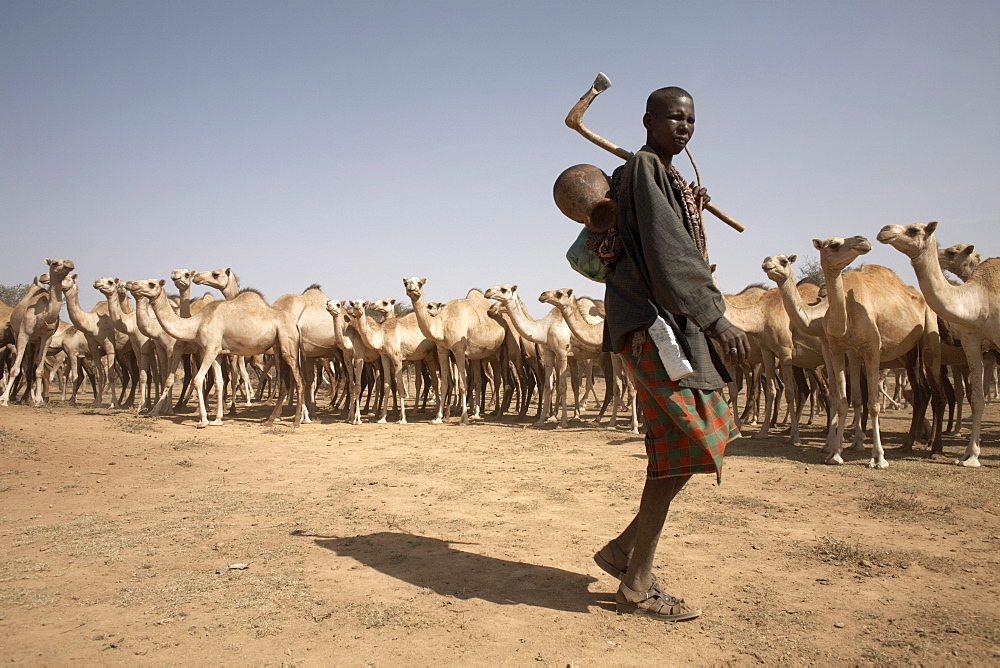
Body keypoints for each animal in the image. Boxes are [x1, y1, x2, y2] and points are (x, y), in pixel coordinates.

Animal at [0, 260, 75, 408]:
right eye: (54, 263)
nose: (43, 277)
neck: (44, 315)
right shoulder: (24, 334)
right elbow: (16, 369)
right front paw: (4, 400)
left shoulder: (46, 338)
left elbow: (39, 371)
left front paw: (38, 400)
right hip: (20, 338)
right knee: (25, 369)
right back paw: (20, 397)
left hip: (36, 344)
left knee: (33, 370)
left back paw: (30, 397)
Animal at [127, 276, 302, 428]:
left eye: (151, 284)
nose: (130, 284)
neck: (197, 323)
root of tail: (294, 323)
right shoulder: (217, 353)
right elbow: (219, 382)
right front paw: (217, 419)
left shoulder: (210, 348)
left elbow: (198, 380)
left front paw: (203, 421)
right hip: (278, 347)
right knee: (285, 382)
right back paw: (271, 419)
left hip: (288, 344)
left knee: (299, 380)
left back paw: (296, 421)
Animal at [400, 276, 504, 422]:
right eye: (405, 283)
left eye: (420, 283)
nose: (411, 289)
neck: (443, 324)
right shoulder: (442, 349)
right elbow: (444, 383)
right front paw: (438, 417)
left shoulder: (458, 349)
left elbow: (462, 384)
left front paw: (463, 418)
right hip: (478, 356)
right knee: (480, 381)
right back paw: (477, 413)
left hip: (497, 354)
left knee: (498, 380)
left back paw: (496, 411)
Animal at [540, 288, 640, 434]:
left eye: (559, 293)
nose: (543, 295)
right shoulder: (614, 354)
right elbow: (618, 387)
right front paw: (612, 424)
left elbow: (632, 389)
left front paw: (635, 428)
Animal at [876, 222, 1000, 468]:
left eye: (914, 230)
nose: (885, 230)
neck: (980, 299)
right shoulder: (971, 341)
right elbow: (974, 397)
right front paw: (970, 456)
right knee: (939, 393)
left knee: (933, 393)